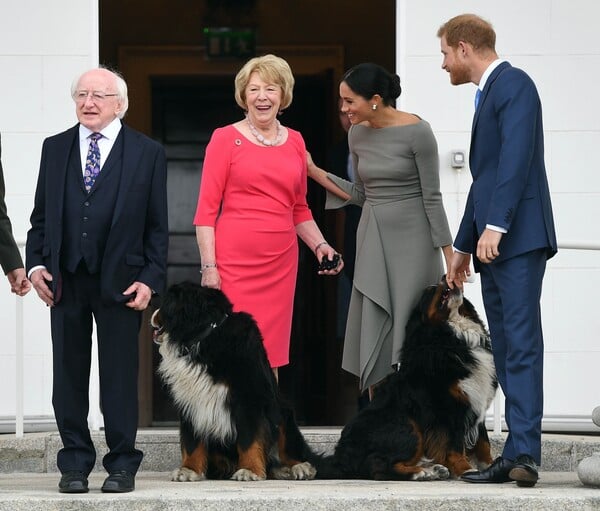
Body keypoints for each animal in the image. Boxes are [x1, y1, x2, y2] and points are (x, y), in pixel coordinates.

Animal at [152, 282, 316, 482]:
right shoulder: (190, 401)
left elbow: (249, 439)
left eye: (166, 302)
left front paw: (250, 470)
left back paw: (297, 467)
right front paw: (188, 470)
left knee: (289, 449)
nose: (153, 312)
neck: (204, 338)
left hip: (282, 412)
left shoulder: (248, 398)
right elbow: (191, 442)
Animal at [314, 276, 496, 480]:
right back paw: (422, 472)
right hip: (408, 425)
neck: (450, 338)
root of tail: (341, 456)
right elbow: (455, 444)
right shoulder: (449, 407)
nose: (444, 277)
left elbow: (483, 442)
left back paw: (434, 469)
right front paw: (466, 469)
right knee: (378, 464)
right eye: (430, 290)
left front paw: (490, 466)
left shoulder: (477, 401)